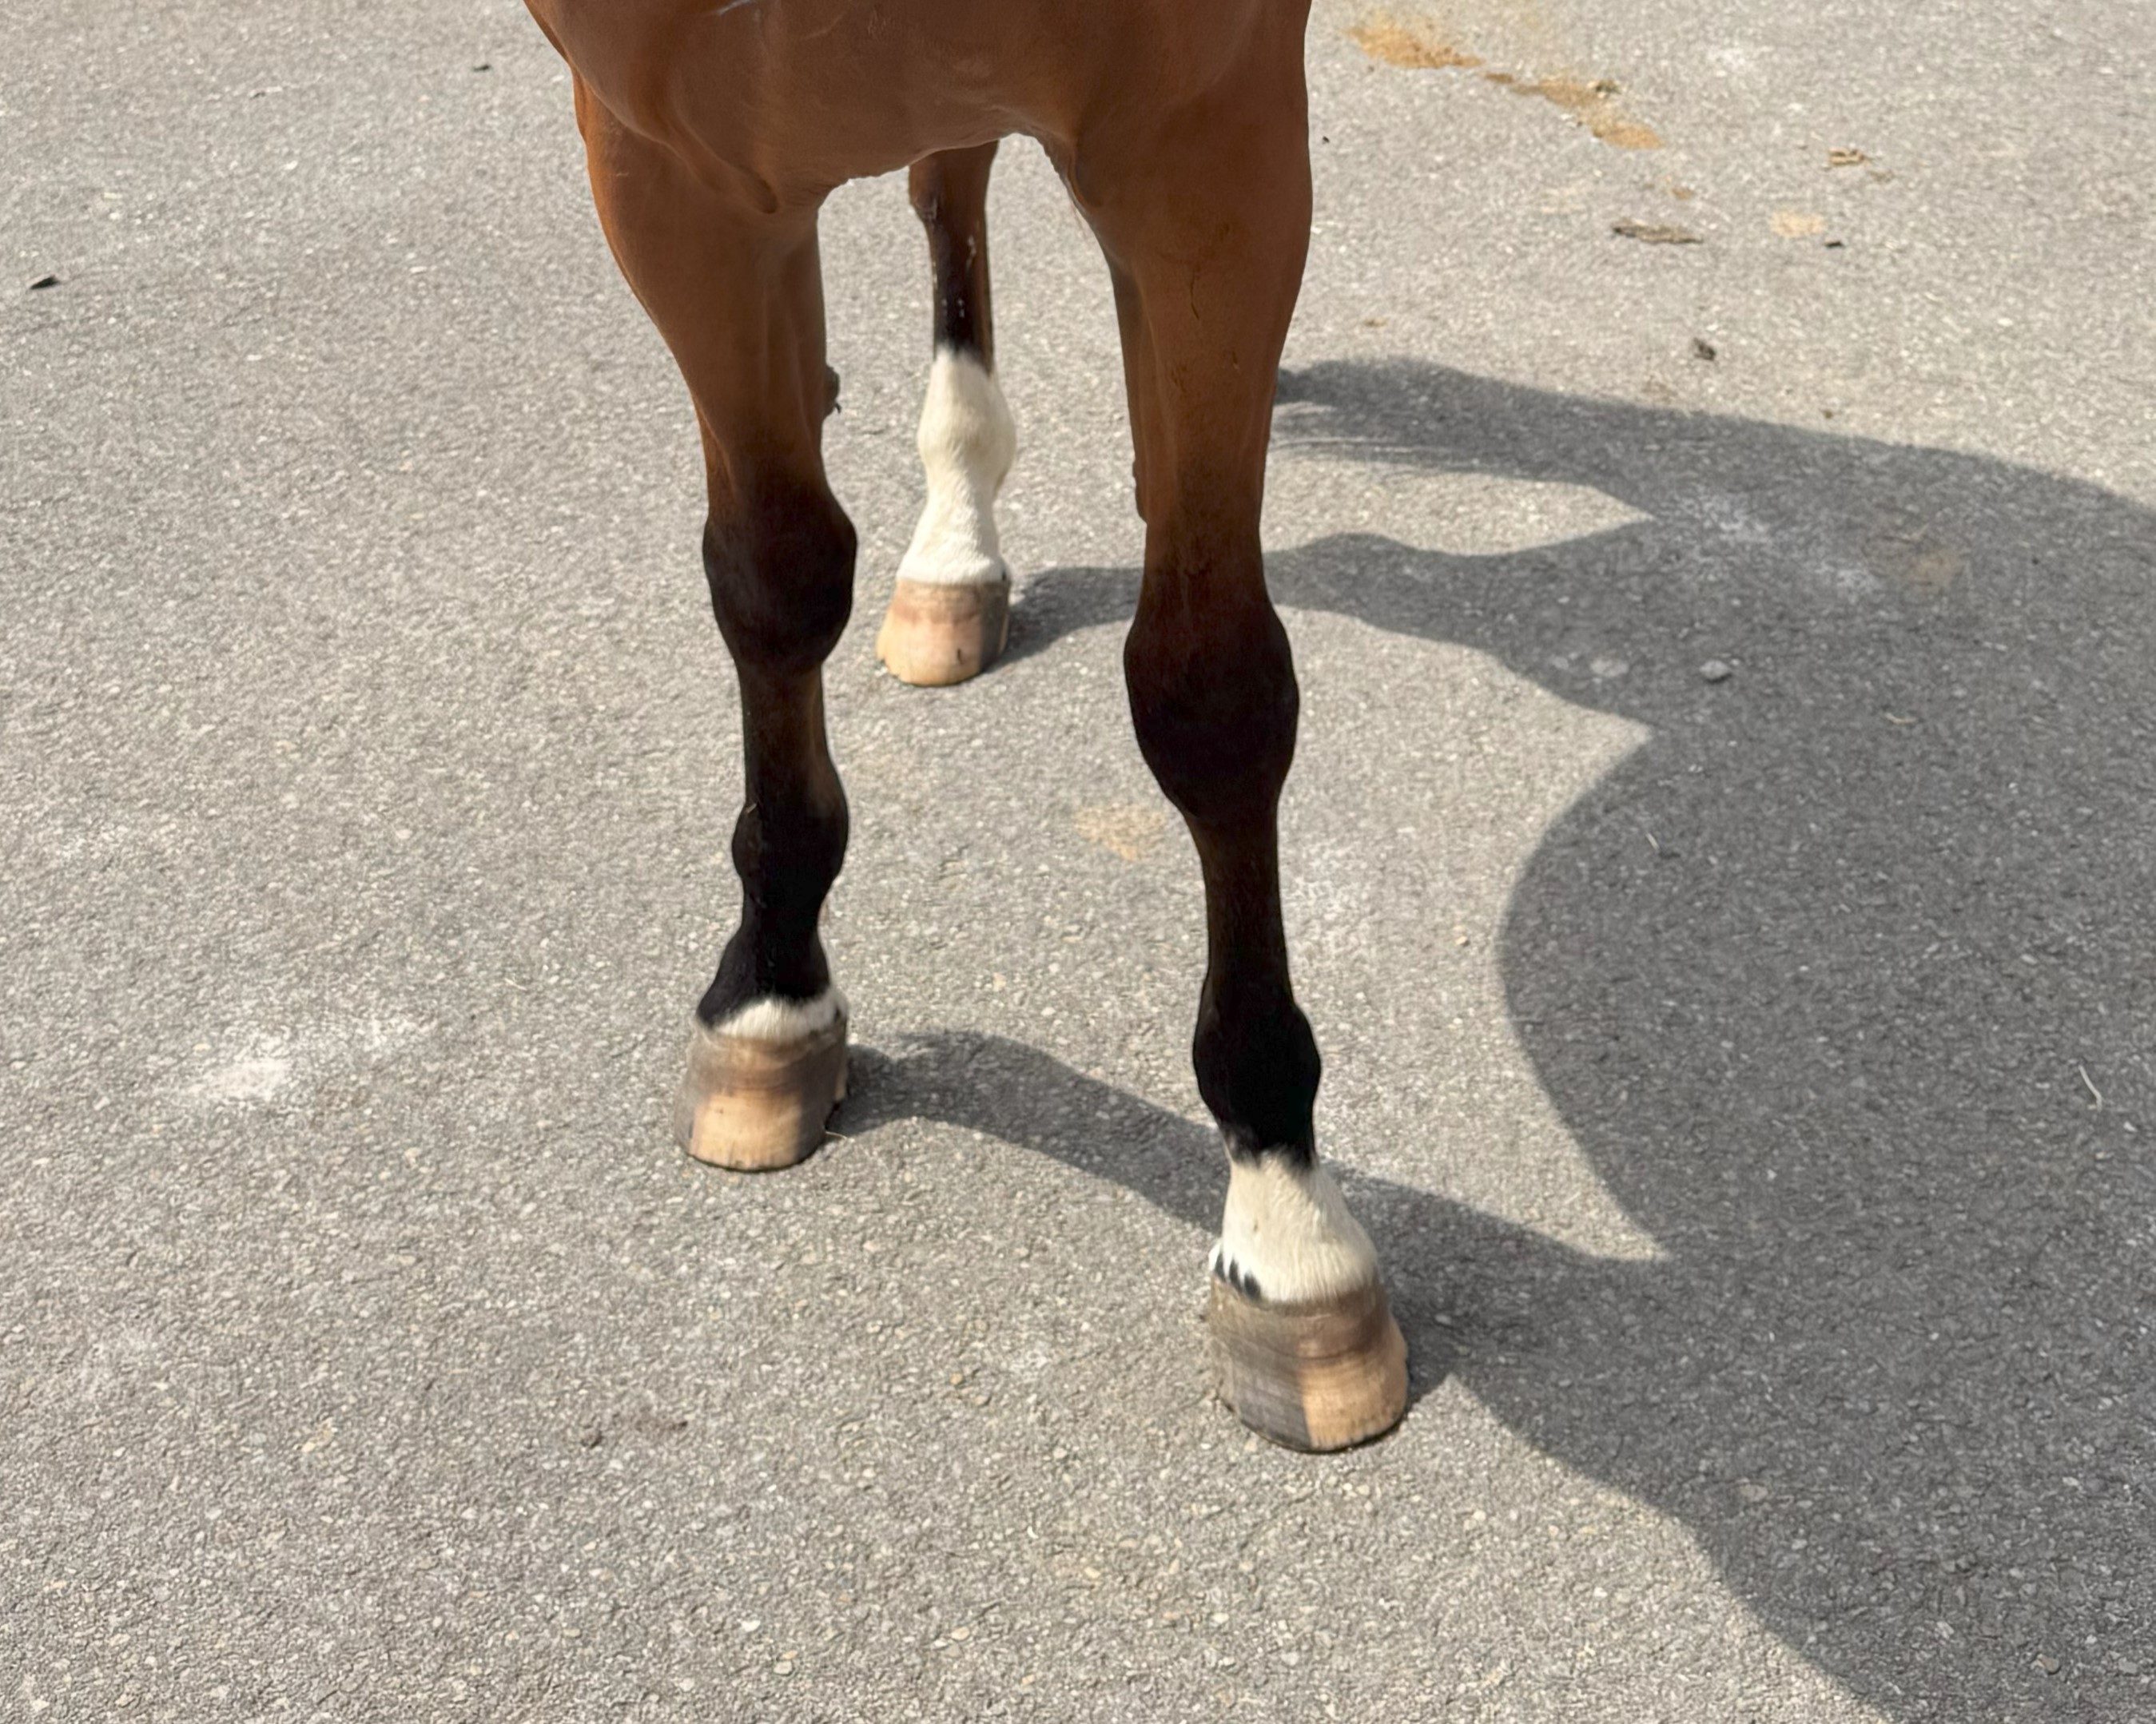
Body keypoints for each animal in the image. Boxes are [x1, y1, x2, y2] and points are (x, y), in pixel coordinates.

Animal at [521, 0, 1407, 1451]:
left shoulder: (1207, 156)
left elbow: (1207, 692)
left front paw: (1282, 1212)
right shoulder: (674, 176)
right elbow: (775, 578)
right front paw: (771, 986)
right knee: (950, 183)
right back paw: (953, 545)